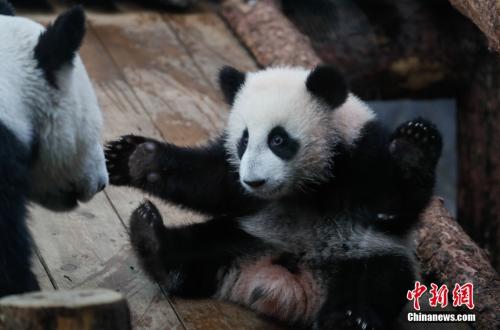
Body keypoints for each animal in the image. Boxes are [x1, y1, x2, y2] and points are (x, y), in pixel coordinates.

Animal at [105, 65, 442, 328]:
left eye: (278, 139)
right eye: (243, 140)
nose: (254, 181)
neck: (308, 184)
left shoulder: (360, 151)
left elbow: (394, 205)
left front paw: (412, 149)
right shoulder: (237, 178)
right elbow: (213, 182)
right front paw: (136, 158)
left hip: (365, 253)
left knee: (374, 282)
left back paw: (347, 319)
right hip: (249, 235)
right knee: (197, 248)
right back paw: (151, 240)